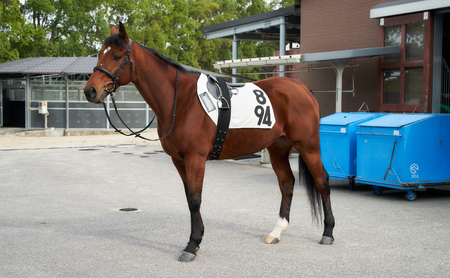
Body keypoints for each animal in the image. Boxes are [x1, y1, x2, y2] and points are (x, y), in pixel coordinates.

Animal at [85, 22, 334, 262]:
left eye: (117, 56)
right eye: (100, 55)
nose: (90, 91)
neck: (181, 100)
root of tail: (303, 90)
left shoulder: (195, 158)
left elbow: (195, 199)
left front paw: (192, 245)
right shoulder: (179, 160)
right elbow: (189, 198)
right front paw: (197, 239)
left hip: (308, 146)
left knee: (322, 180)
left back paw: (328, 233)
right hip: (278, 148)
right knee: (286, 183)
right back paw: (277, 231)